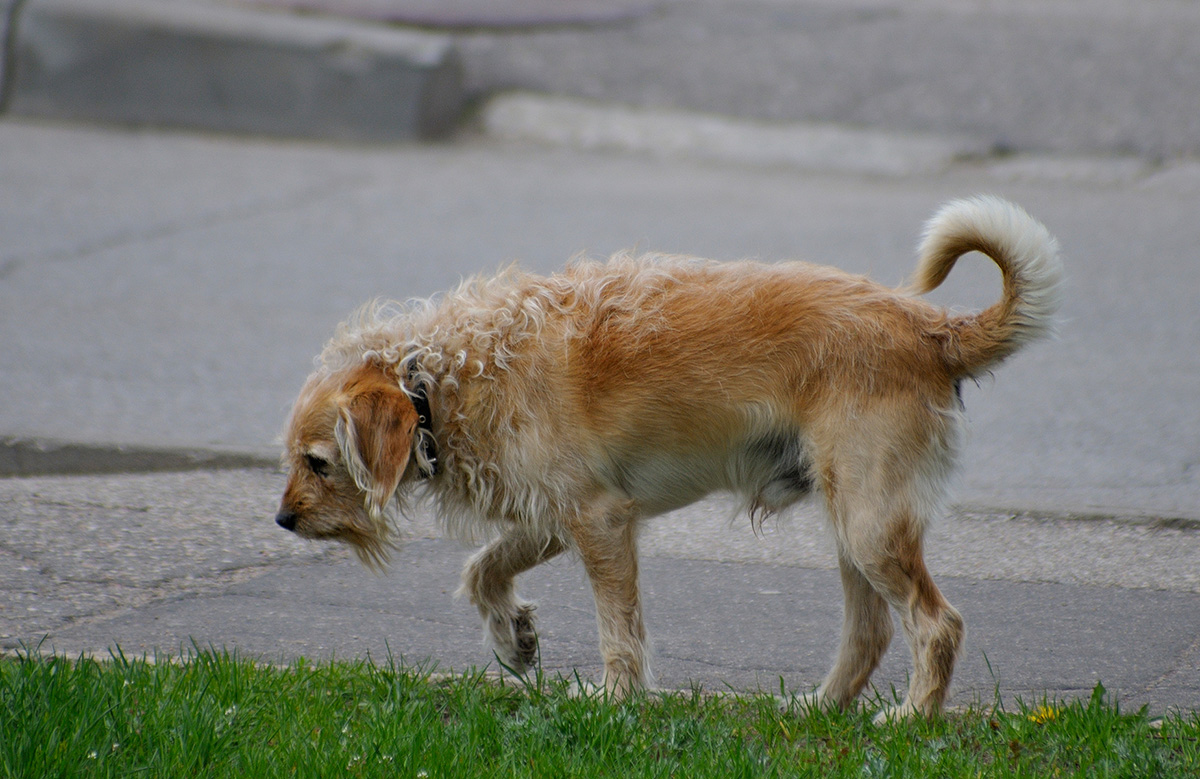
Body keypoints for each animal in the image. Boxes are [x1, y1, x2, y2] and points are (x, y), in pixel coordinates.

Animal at [276, 198, 1065, 720]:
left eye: (317, 462)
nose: (282, 519)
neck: (443, 376)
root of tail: (930, 327)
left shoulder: (600, 521)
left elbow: (618, 630)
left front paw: (614, 698)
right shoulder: (557, 515)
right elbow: (483, 569)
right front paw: (515, 637)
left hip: (870, 522)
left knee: (936, 624)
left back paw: (911, 719)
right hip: (853, 524)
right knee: (869, 632)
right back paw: (819, 706)